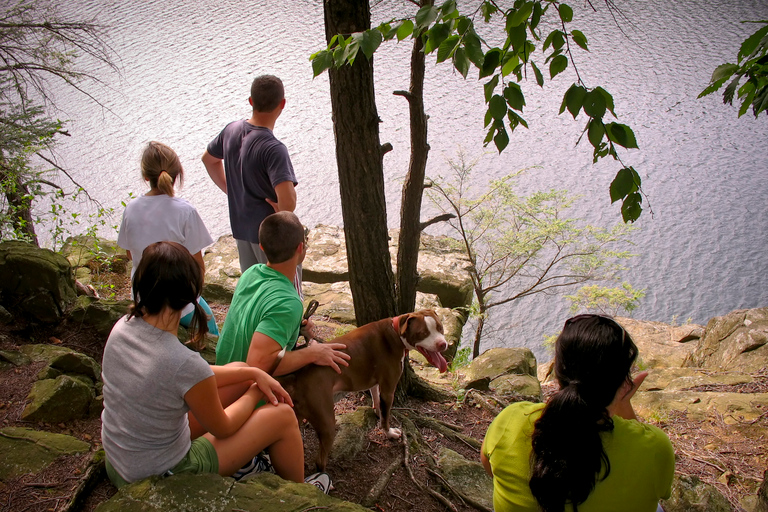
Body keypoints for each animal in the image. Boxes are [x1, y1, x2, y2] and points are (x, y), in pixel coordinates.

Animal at [278, 310, 450, 470]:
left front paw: (378, 412)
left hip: (296, 415)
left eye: (440, 328)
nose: (443, 344)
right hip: (327, 423)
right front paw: (389, 433)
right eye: (423, 333)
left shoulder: (376, 384)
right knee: (320, 460)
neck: (396, 332)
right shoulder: (389, 389)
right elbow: (386, 418)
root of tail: (296, 377)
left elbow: (378, 401)